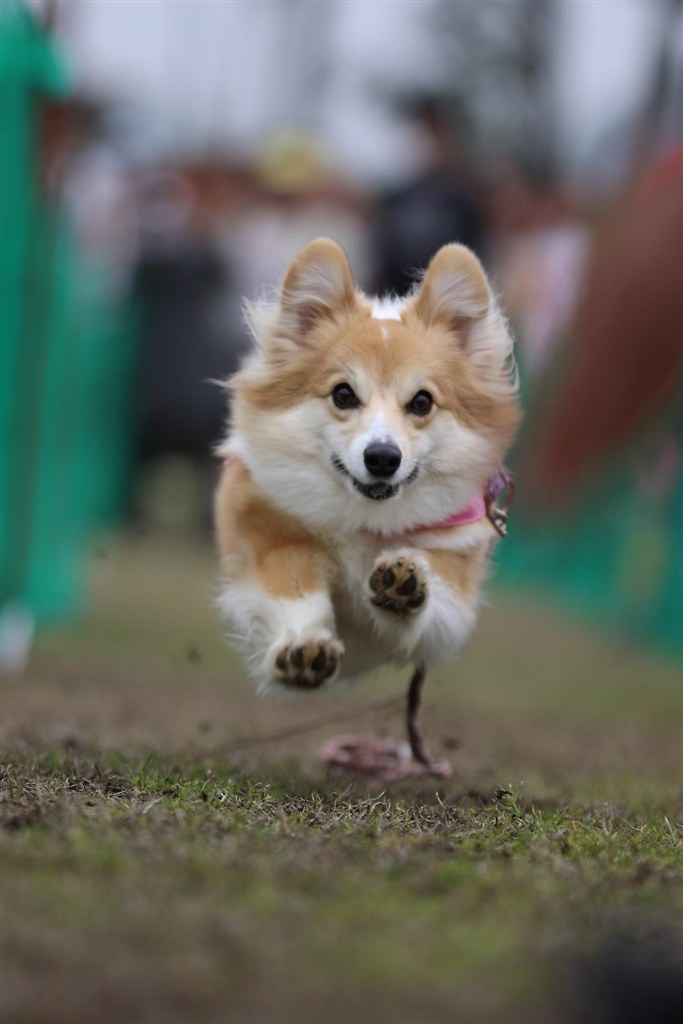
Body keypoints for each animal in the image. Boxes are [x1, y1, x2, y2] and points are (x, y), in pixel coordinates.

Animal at [216, 239, 520, 770]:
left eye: (421, 402)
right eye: (343, 394)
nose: (381, 457)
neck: (366, 522)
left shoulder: (454, 589)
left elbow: (431, 600)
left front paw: (402, 584)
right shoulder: (272, 538)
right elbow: (295, 589)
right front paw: (304, 650)